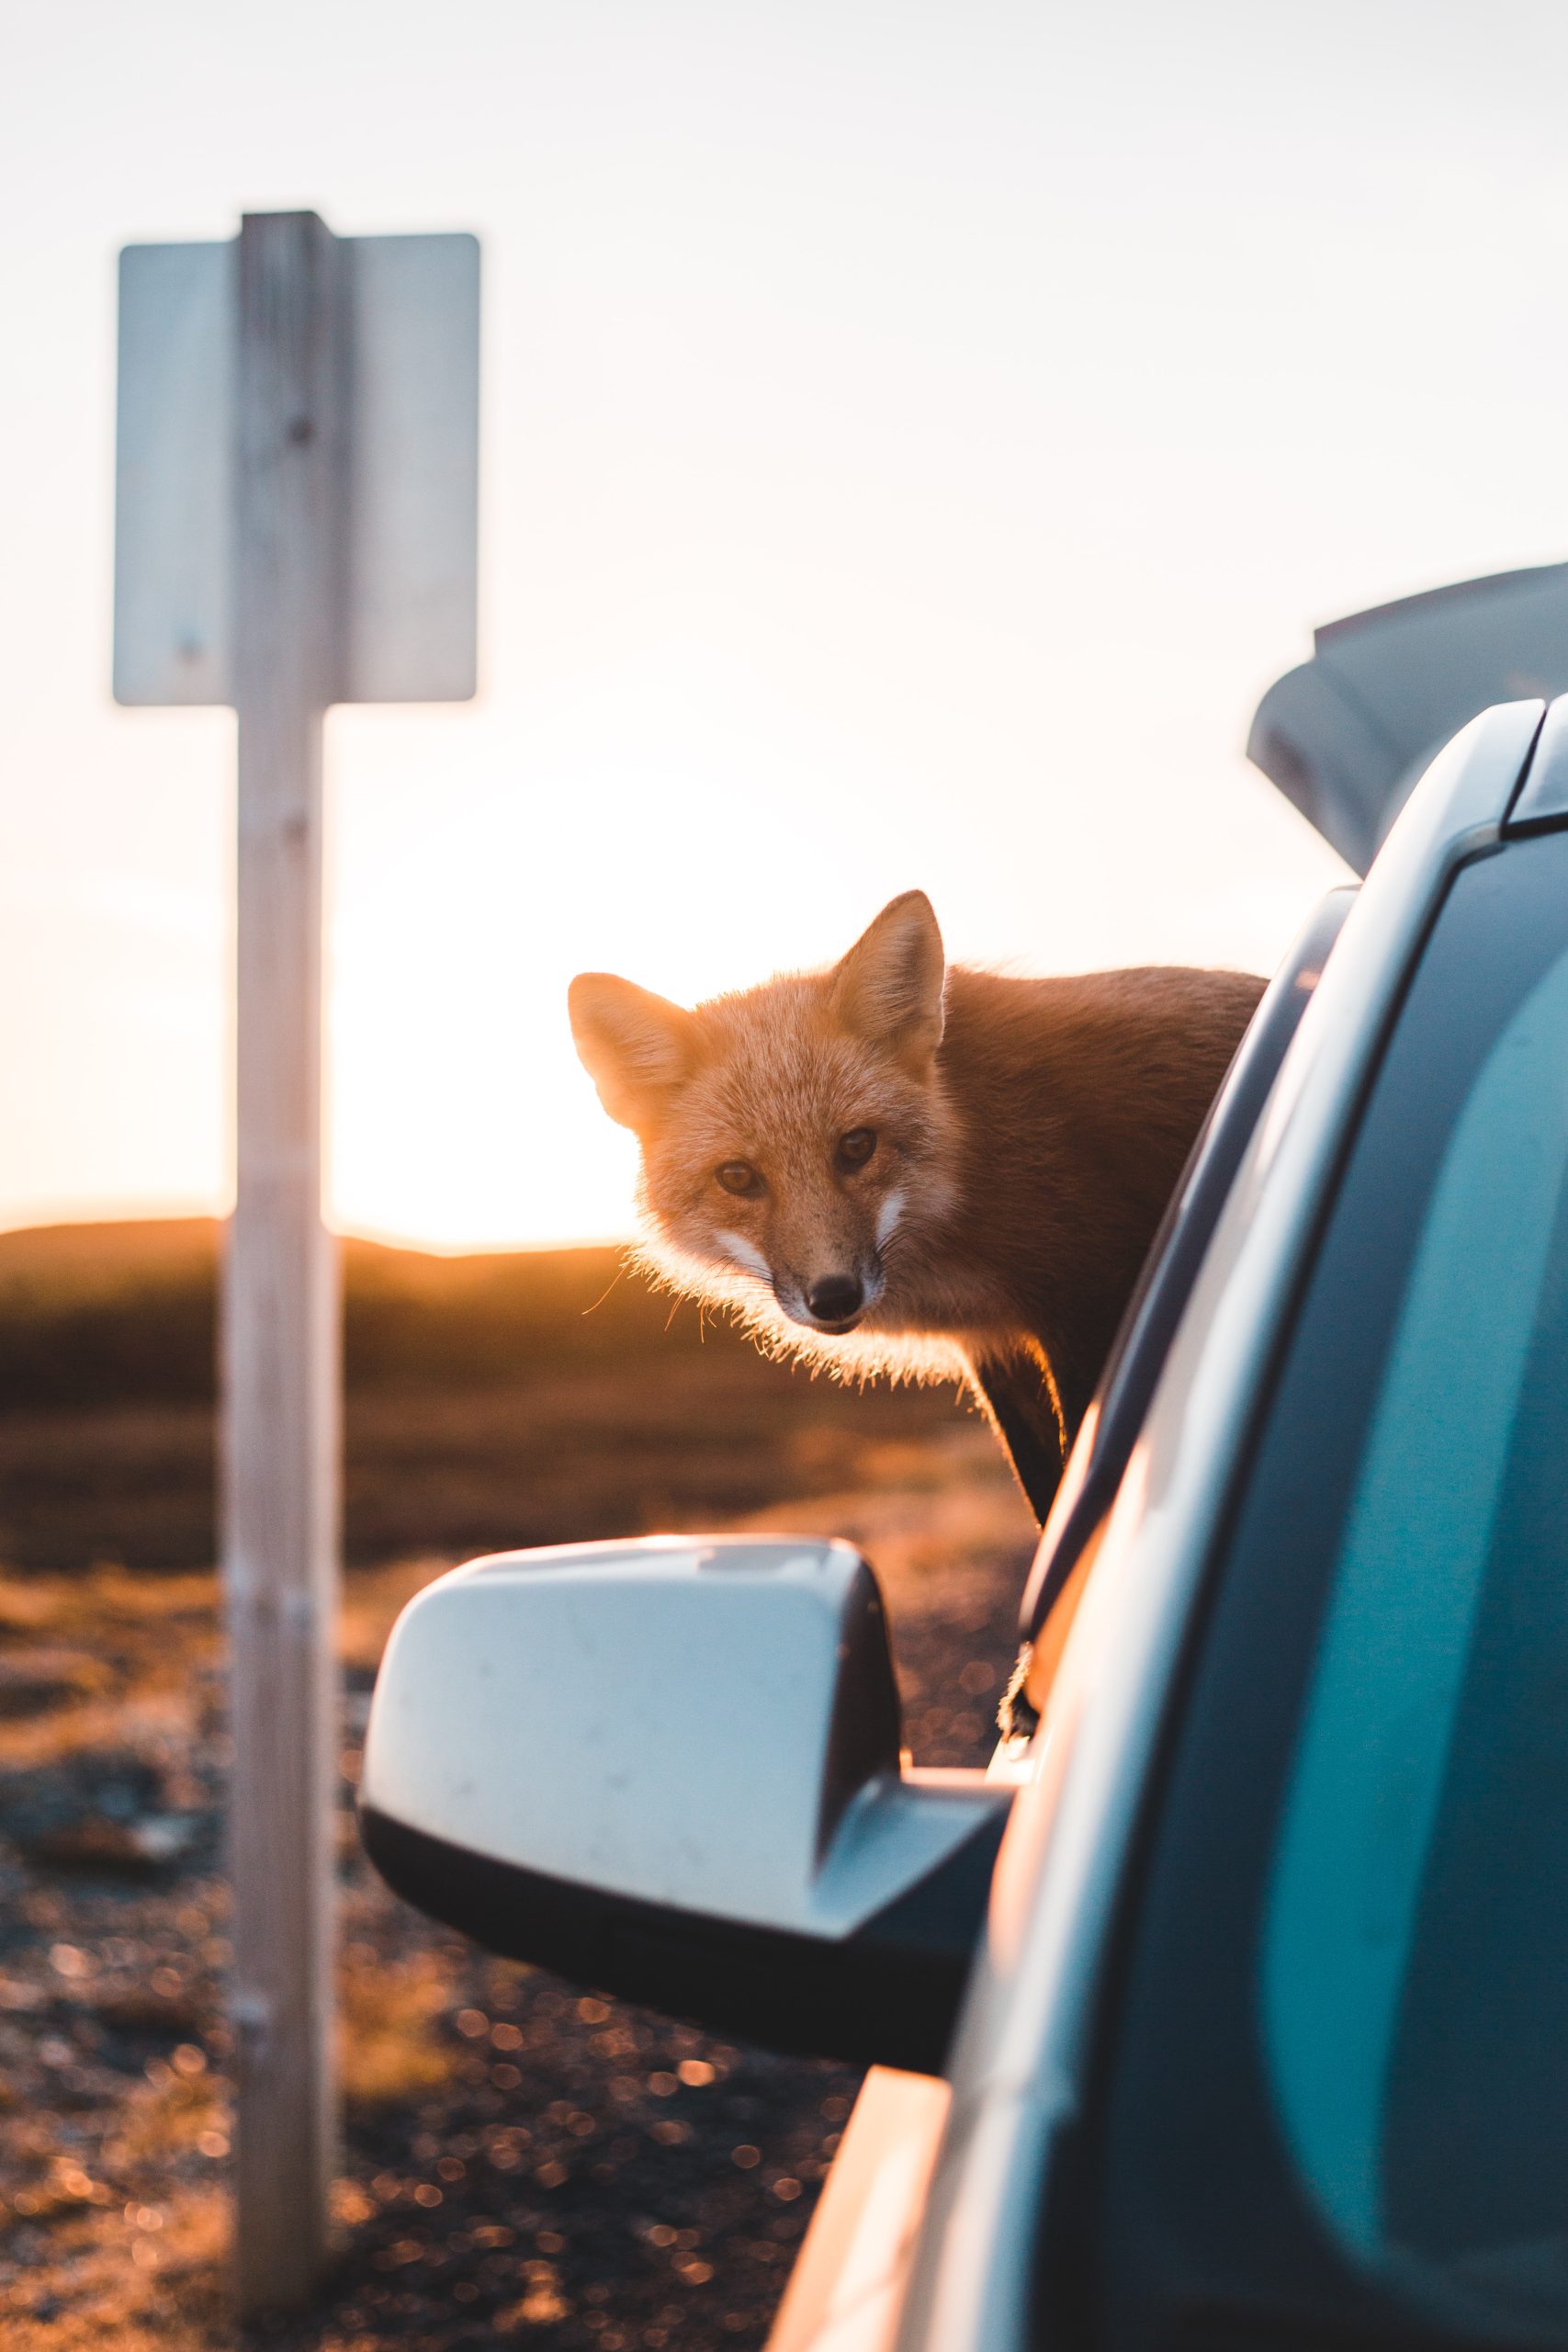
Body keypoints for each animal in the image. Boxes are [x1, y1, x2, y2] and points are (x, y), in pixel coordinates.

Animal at [570, 888, 1269, 1514]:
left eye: (856, 1146)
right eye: (738, 1178)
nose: (834, 1296)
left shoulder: (1087, 1308)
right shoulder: (995, 1347)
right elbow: (1043, 1498)